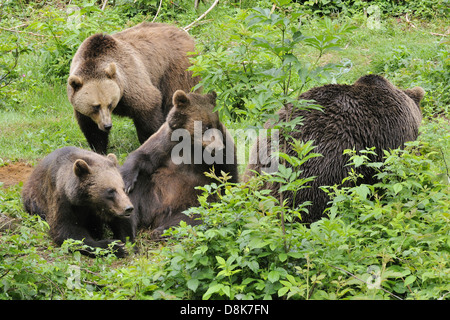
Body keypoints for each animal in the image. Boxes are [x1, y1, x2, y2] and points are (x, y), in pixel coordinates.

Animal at [67, 22, 200, 154]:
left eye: (110, 104)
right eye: (95, 106)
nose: (107, 125)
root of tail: (184, 33)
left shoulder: (131, 80)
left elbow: (148, 107)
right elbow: (91, 129)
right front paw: (99, 150)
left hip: (177, 69)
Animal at [119, 90, 239, 240]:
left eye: (216, 124)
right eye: (206, 126)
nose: (218, 148)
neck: (191, 144)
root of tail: (156, 217)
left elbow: (229, 176)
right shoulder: (167, 142)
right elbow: (144, 156)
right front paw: (127, 183)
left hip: (193, 202)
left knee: (193, 217)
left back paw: (161, 230)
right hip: (151, 194)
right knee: (135, 193)